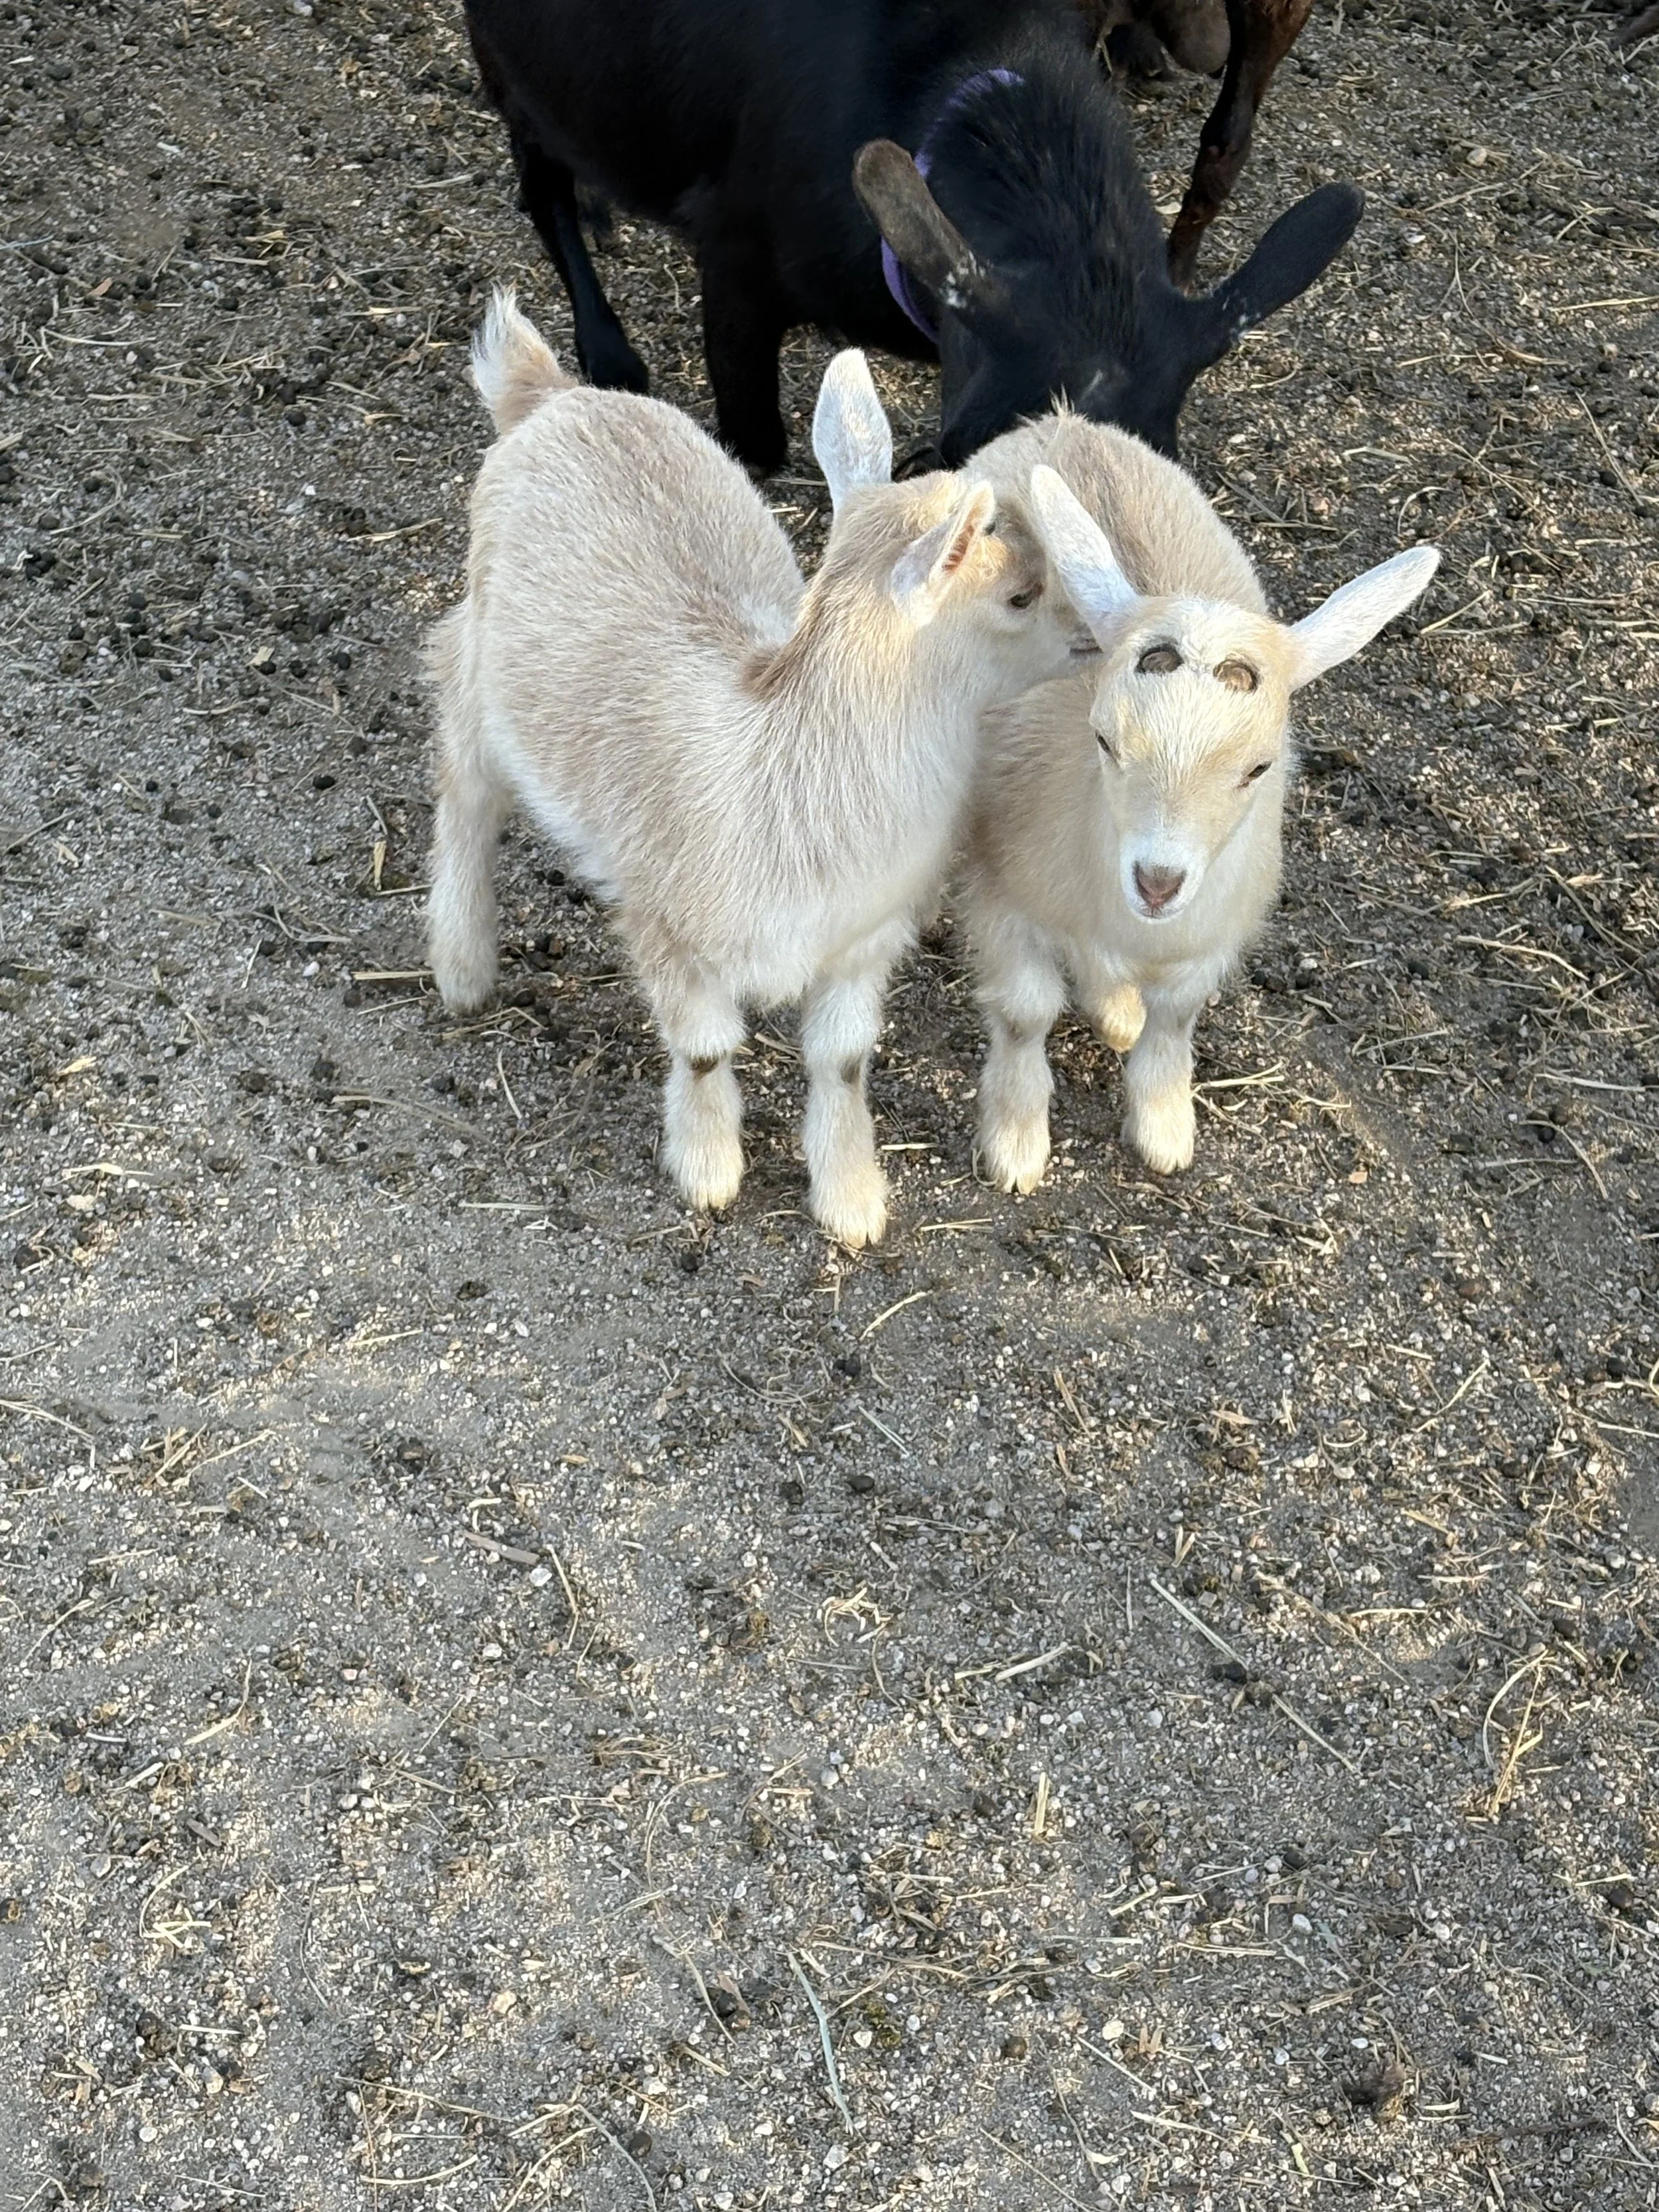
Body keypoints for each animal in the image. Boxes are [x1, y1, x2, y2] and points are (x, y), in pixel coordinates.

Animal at [426, 294, 1082, 1247]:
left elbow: (842, 1062)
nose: (1099, 633)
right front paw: (707, 1171)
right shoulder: (671, 923)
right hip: (480, 660)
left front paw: (851, 1200)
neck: (783, 768)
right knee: (464, 785)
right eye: (1019, 595)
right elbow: (704, 1050)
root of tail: (549, 394)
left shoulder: (859, 942)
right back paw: (463, 966)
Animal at [464, 0, 1361, 470]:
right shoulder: (737, 264)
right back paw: (608, 345)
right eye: (973, 451)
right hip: (511, 61)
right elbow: (758, 446)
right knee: (539, 181)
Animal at [961, 413, 1438, 1186]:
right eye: (1103, 739)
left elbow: (1176, 1017)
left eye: (1259, 767)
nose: (1157, 882)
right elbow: (1025, 1013)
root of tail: (1064, 419)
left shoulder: (1208, 934)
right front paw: (1016, 1142)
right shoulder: (1003, 897)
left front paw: (1164, 1128)